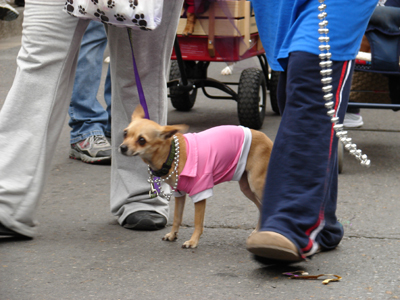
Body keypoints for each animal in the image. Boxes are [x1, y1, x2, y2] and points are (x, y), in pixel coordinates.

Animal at [120, 105, 274, 248]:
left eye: (141, 140)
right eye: (125, 133)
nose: (122, 148)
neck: (171, 155)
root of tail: (269, 140)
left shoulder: (200, 193)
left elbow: (197, 222)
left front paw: (193, 241)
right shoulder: (179, 194)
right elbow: (177, 217)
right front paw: (173, 234)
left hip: (256, 185)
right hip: (247, 188)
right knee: (262, 207)